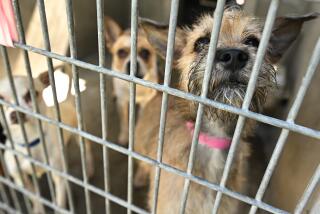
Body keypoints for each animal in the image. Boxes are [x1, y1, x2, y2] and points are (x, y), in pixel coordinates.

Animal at [0, 66, 94, 212]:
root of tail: (66, 101)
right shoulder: (20, 179)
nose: (15, 114)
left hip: (80, 138)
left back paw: (89, 168)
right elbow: (35, 198)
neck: (30, 141)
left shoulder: (60, 178)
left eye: (31, 95)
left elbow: (59, 204)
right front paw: (37, 209)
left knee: (87, 151)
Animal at [105, 15, 159, 145]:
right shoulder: (122, 103)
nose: (132, 64)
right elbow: (124, 122)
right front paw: (124, 136)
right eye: (121, 53)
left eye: (145, 53)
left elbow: (141, 118)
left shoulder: (145, 103)